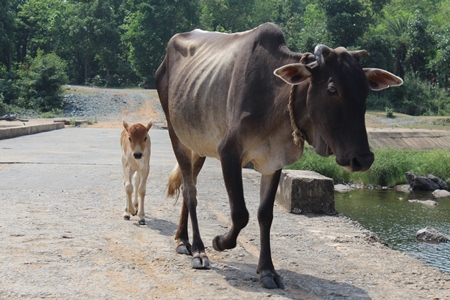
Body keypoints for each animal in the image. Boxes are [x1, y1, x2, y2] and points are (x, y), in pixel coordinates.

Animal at [154, 22, 400, 290]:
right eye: (332, 89)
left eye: (366, 90)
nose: (363, 158)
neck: (274, 98)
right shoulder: (228, 151)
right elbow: (240, 213)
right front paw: (219, 241)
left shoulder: (273, 161)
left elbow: (265, 215)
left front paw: (267, 270)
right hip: (176, 135)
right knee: (190, 192)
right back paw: (198, 250)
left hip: (197, 145)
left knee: (189, 187)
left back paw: (182, 239)